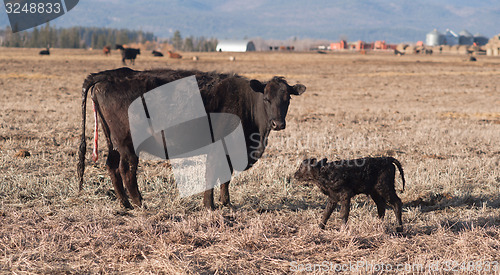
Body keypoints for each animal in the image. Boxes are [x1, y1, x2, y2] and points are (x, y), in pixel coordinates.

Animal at [77, 68, 304, 209]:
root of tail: (108, 76)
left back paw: (125, 204)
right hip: (128, 144)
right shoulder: (219, 147)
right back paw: (140, 204)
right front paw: (209, 206)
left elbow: (226, 177)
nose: (278, 124)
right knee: (127, 170)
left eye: (287, 99)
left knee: (112, 166)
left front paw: (226, 203)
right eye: (266, 99)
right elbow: (212, 174)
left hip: (112, 142)